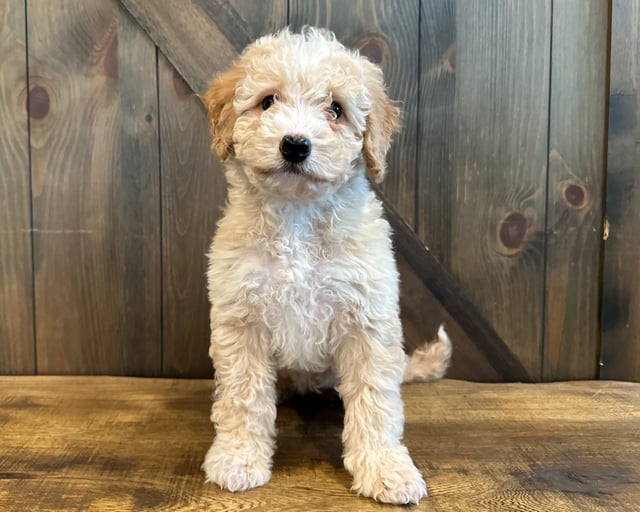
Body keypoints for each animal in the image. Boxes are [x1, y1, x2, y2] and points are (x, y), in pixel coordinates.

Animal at [200, 27, 450, 504]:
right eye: (267, 102)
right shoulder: (242, 319)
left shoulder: (367, 321)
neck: (297, 217)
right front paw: (238, 458)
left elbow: (375, 400)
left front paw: (385, 469)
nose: (295, 144)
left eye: (335, 109)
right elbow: (243, 396)